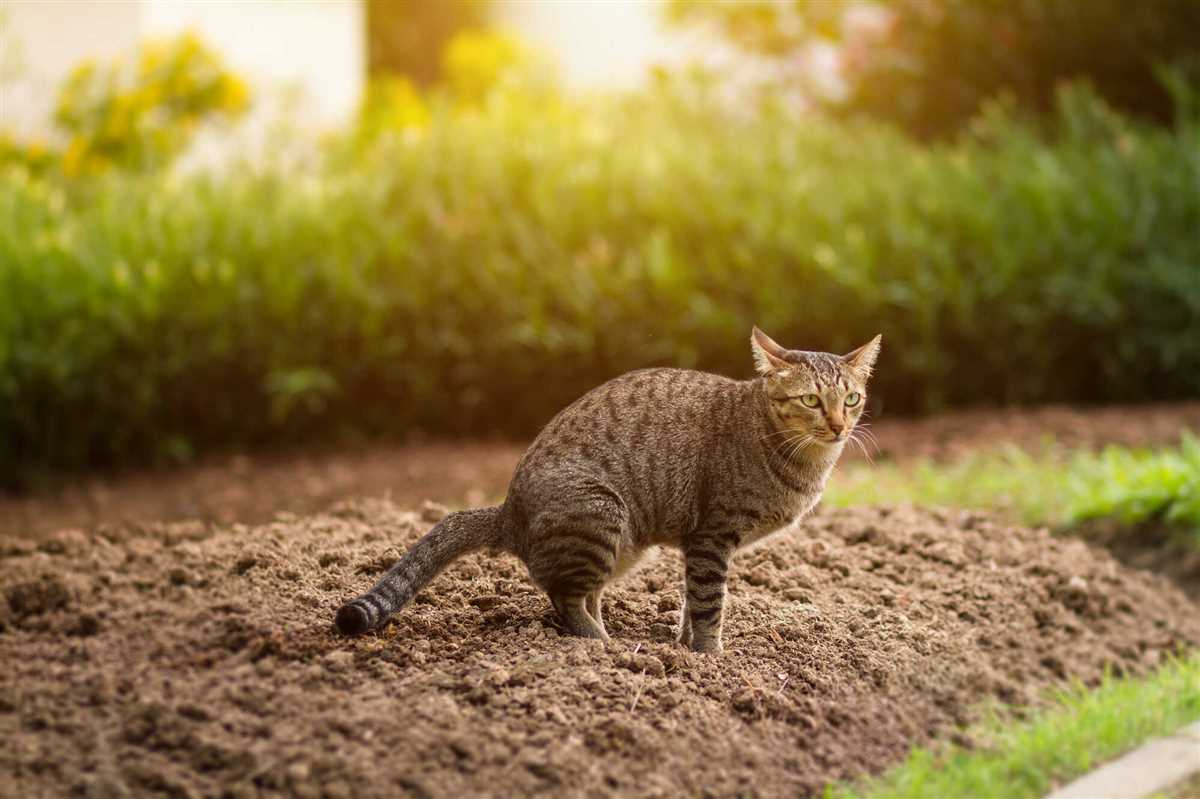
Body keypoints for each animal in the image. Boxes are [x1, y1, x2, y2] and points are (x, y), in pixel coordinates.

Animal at [338, 326, 883, 652]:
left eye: (852, 399)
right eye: (811, 400)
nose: (839, 426)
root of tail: (508, 511)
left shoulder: (698, 546)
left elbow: (691, 603)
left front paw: (683, 645)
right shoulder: (712, 537)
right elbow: (710, 604)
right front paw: (711, 658)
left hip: (623, 545)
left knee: (582, 592)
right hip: (600, 513)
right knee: (564, 597)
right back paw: (602, 644)